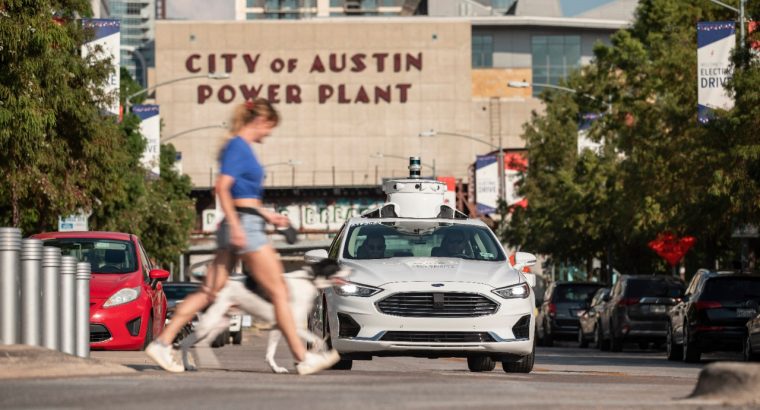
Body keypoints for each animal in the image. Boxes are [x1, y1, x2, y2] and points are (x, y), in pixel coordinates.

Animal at [183, 262, 348, 374]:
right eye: (336, 266)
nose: (351, 270)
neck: (308, 280)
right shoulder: (293, 325)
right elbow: (318, 340)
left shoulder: (277, 326)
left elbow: (270, 353)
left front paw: (278, 368)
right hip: (209, 322)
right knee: (185, 343)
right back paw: (188, 366)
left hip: (219, 324)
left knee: (200, 343)